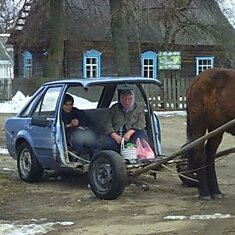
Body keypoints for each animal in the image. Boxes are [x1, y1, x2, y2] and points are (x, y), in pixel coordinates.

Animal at [185, 67, 235, 199]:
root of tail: (195, 80)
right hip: (199, 124)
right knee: (200, 152)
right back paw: (204, 192)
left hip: (216, 127)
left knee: (210, 154)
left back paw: (215, 190)